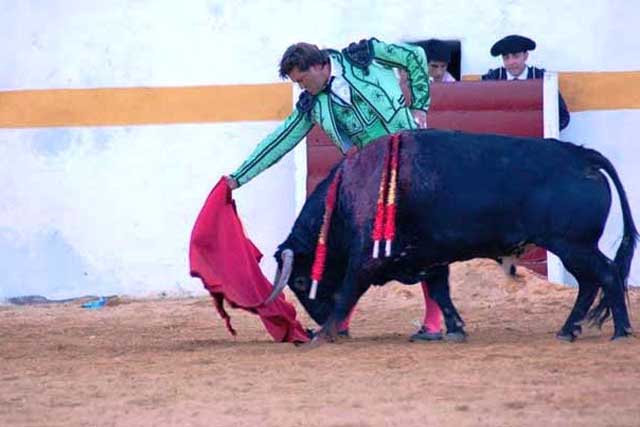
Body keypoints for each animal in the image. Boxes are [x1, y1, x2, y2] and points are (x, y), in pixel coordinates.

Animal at [268, 129, 636, 342]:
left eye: (299, 281)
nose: (316, 319)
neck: (347, 196)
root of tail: (582, 155)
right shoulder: (429, 257)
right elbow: (440, 293)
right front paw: (456, 329)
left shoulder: (365, 261)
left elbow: (347, 292)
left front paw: (324, 334)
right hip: (573, 247)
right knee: (590, 283)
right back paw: (567, 330)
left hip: (573, 245)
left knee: (606, 274)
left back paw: (620, 331)